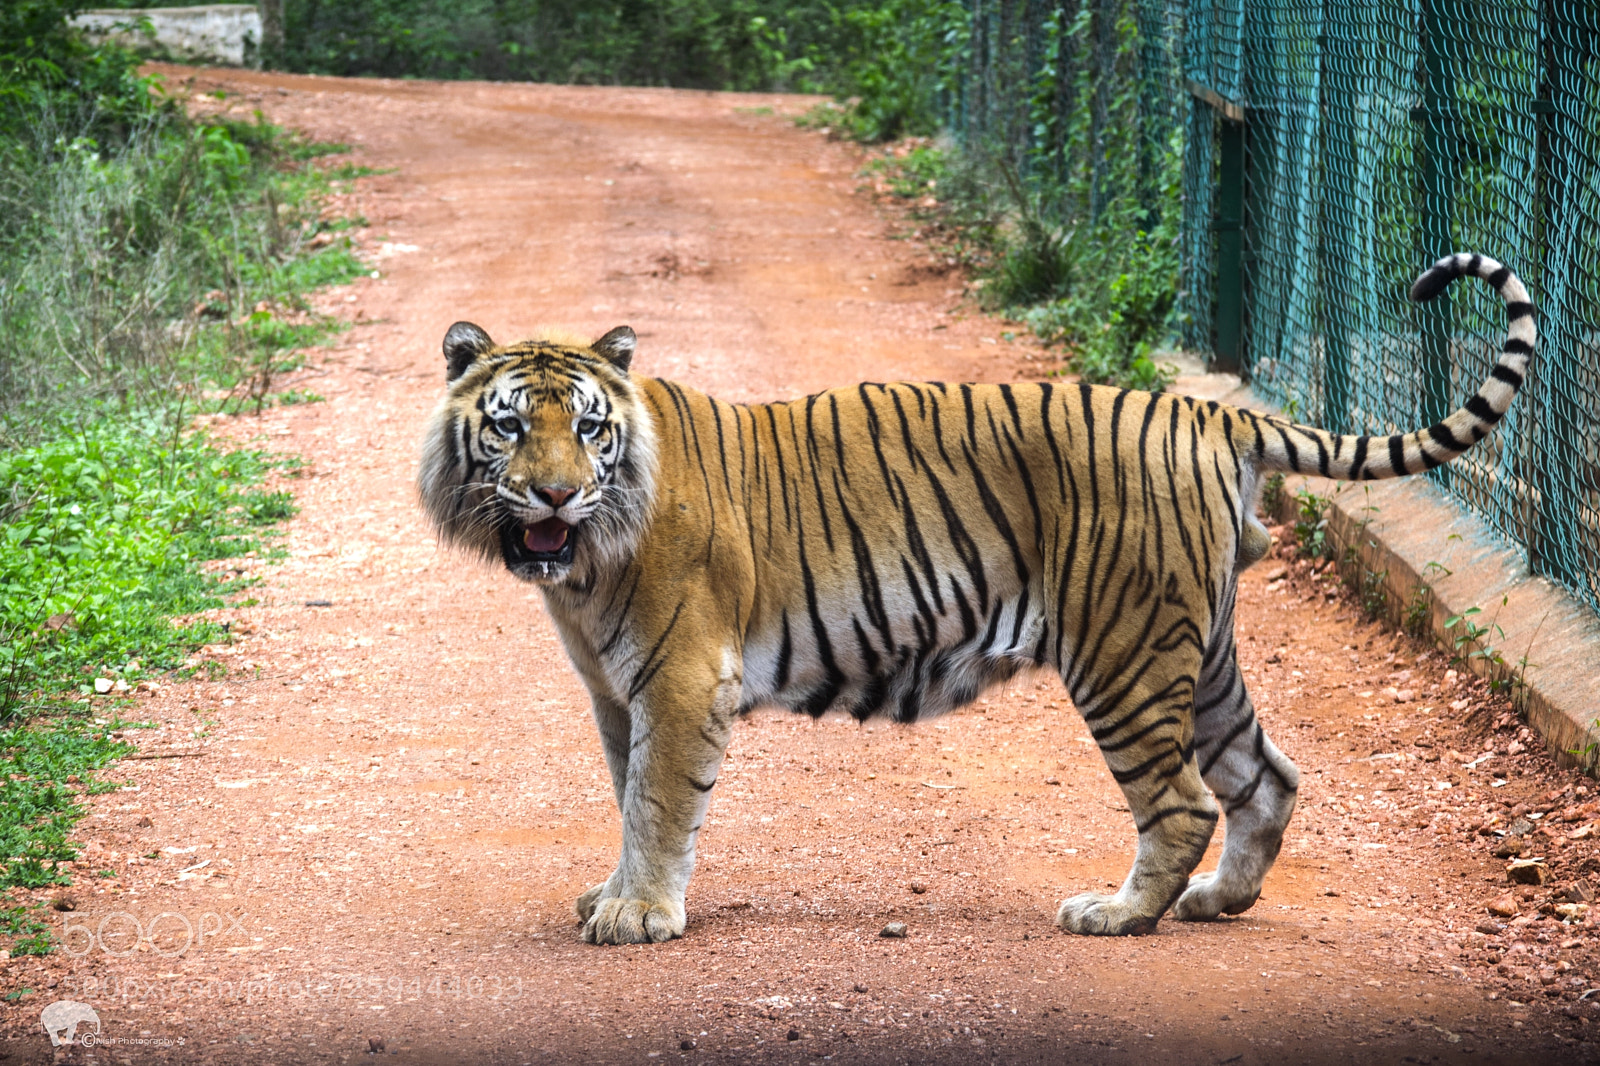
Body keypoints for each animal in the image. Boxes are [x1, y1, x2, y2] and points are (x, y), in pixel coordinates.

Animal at [418, 253, 1534, 944]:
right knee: (1268, 777)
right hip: (1198, 649)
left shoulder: (682, 679)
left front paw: (639, 915)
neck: (585, 562)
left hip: (1123, 651)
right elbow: (626, 797)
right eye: (512, 426)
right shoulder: (619, 691)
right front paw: (614, 895)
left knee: (1180, 800)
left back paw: (1119, 914)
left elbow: (656, 803)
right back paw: (1219, 899)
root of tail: (1207, 412)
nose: (554, 493)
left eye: (590, 428)